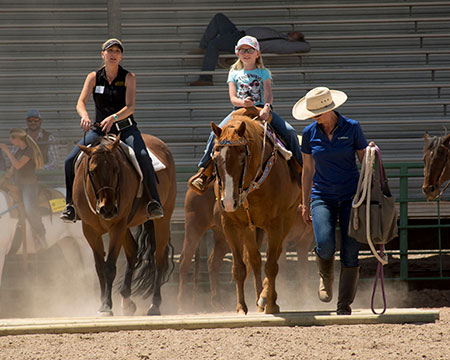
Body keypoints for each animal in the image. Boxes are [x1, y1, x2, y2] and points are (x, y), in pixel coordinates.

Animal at [73, 134, 176, 316]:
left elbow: (109, 267)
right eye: (92, 171)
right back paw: (127, 300)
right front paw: (102, 303)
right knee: (133, 251)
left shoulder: (117, 226)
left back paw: (154, 305)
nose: (107, 209)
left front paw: (107, 305)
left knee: (159, 258)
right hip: (126, 226)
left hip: (162, 219)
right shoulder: (89, 229)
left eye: (116, 169)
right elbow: (99, 267)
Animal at [211, 106, 302, 312]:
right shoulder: (232, 224)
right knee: (255, 260)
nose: (229, 202)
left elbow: (271, 265)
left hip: (288, 218)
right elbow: (240, 267)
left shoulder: (275, 225)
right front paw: (240, 308)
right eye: (215, 158)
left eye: (242, 157)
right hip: (251, 228)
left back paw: (266, 298)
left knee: (275, 256)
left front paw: (270, 304)